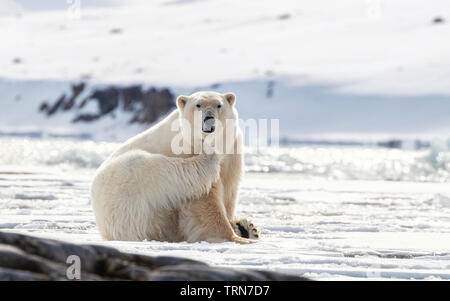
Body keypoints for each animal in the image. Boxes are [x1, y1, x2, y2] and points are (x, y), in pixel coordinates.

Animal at [90, 90, 260, 243]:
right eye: (198, 105)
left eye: (219, 105)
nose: (209, 118)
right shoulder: (185, 149)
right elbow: (204, 201)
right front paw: (234, 237)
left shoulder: (233, 154)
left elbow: (229, 191)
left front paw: (240, 227)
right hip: (129, 184)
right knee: (165, 170)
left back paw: (247, 228)